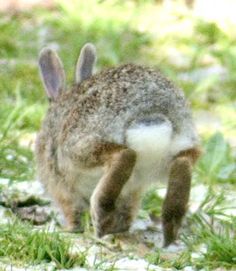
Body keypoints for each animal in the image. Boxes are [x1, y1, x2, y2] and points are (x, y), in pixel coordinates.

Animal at [35, 42, 201, 246]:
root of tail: (151, 113)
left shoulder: (63, 189)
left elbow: (73, 211)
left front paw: (71, 229)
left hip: (79, 149)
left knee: (124, 155)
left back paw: (101, 216)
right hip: (178, 148)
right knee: (183, 162)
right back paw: (171, 227)